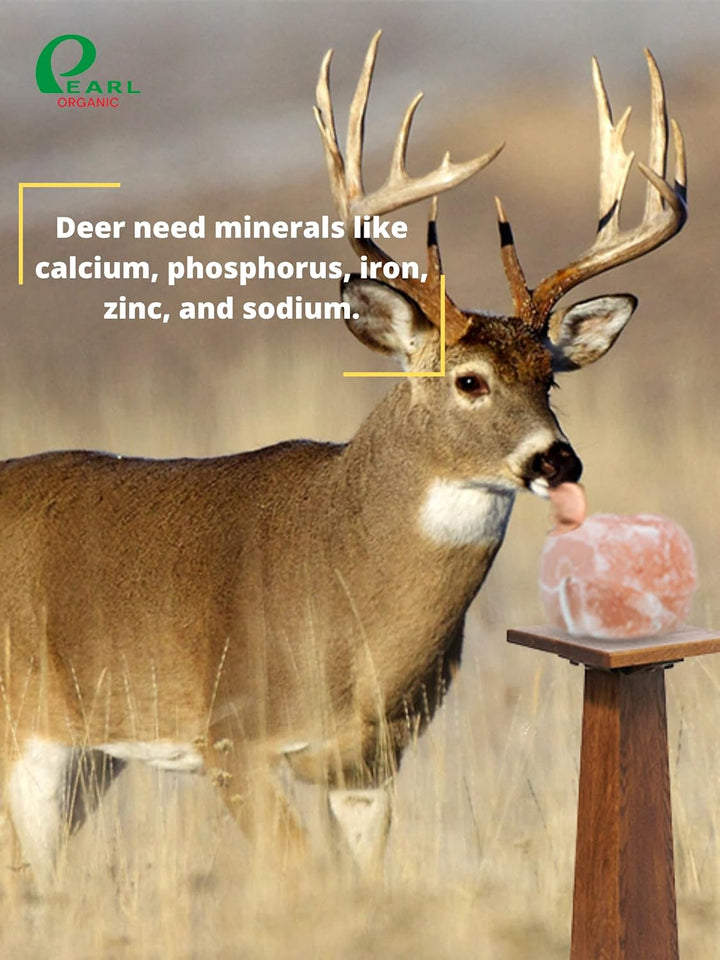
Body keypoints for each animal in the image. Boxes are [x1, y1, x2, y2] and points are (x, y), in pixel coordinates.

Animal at [1, 34, 686, 888]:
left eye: (551, 377)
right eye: (468, 379)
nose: (557, 459)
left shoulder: (371, 762)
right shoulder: (231, 733)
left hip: (89, 757)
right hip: (28, 731)